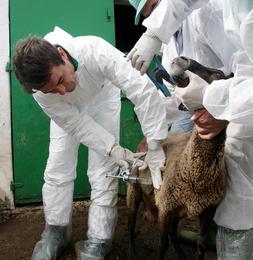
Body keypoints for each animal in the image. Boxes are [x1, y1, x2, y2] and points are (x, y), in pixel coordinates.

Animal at [126, 57, 231, 260]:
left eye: (218, 75)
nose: (181, 59)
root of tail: (144, 139)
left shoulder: (208, 210)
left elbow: (201, 244)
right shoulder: (164, 208)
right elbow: (162, 245)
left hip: (176, 212)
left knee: (174, 234)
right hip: (134, 190)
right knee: (131, 223)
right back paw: (132, 252)